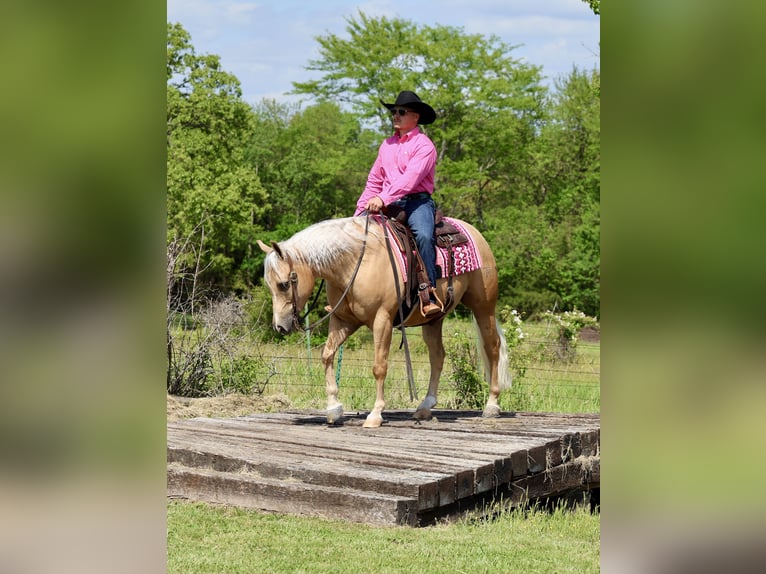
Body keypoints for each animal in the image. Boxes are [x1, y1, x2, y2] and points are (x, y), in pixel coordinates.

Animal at [256, 215, 510, 428]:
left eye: (283, 284)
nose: (280, 326)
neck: (355, 264)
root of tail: (473, 231)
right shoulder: (342, 321)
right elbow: (327, 355)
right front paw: (333, 408)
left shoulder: (382, 320)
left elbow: (379, 367)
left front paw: (375, 414)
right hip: (433, 320)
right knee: (437, 356)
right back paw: (425, 406)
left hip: (483, 307)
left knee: (492, 347)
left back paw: (492, 405)